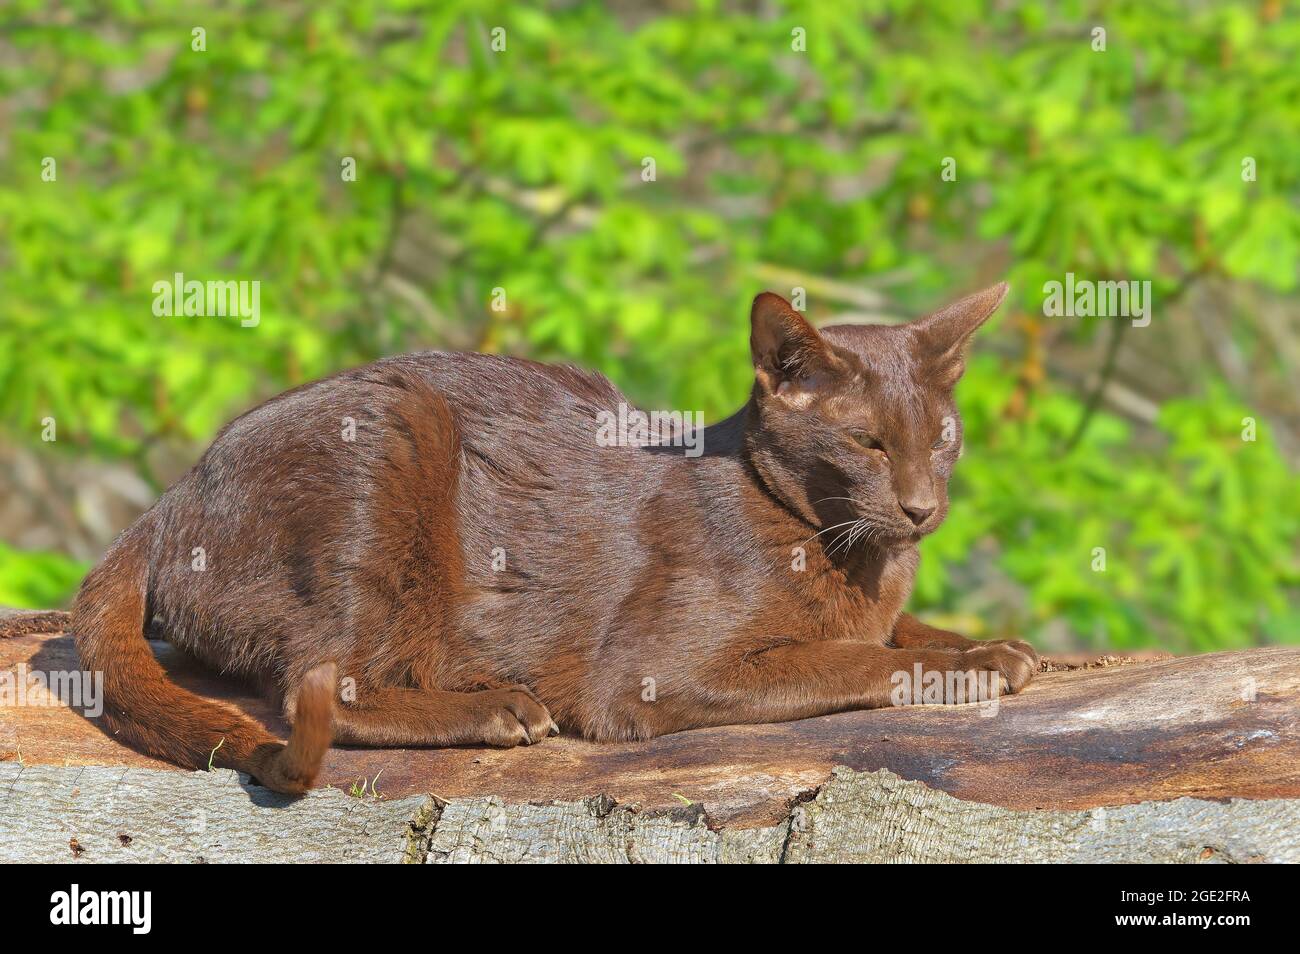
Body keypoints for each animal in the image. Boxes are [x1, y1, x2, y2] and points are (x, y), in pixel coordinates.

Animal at [2, 282, 1034, 790]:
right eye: (867, 443)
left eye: (943, 438)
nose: (923, 507)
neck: (856, 556)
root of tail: (170, 499)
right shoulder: (650, 676)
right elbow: (854, 658)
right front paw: (966, 665)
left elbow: (893, 632)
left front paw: (993, 645)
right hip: (396, 431)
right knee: (321, 687)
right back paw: (499, 708)